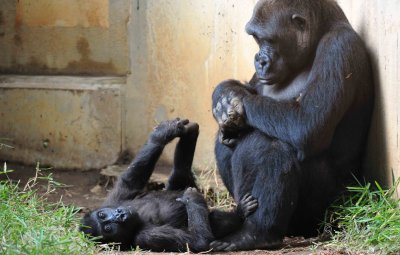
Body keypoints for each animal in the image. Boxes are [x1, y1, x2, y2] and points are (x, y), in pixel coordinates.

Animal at [79, 118, 258, 252]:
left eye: (103, 214)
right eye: (108, 228)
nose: (119, 215)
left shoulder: (116, 199)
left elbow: (132, 178)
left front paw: (161, 134)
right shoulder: (148, 237)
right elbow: (198, 241)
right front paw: (192, 199)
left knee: (180, 172)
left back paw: (190, 133)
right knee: (215, 221)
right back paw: (237, 212)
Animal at [211, 0, 374, 251]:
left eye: (267, 39)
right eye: (256, 39)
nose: (260, 60)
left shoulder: (338, 47)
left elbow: (306, 123)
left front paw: (235, 96)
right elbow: (251, 91)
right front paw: (224, 93)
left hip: (330, 210)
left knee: (274, 144)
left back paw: (256, 233)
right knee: (230, 140)